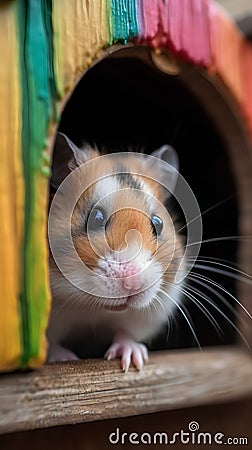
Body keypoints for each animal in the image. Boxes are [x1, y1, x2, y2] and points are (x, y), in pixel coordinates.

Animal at [47, 134, 184, 372]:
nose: (133, 284)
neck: (90, 306)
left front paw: (133, 361)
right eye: (96, 218)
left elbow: (125, 333)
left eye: (157, 224)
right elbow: (51, 343)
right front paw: (63, 360)